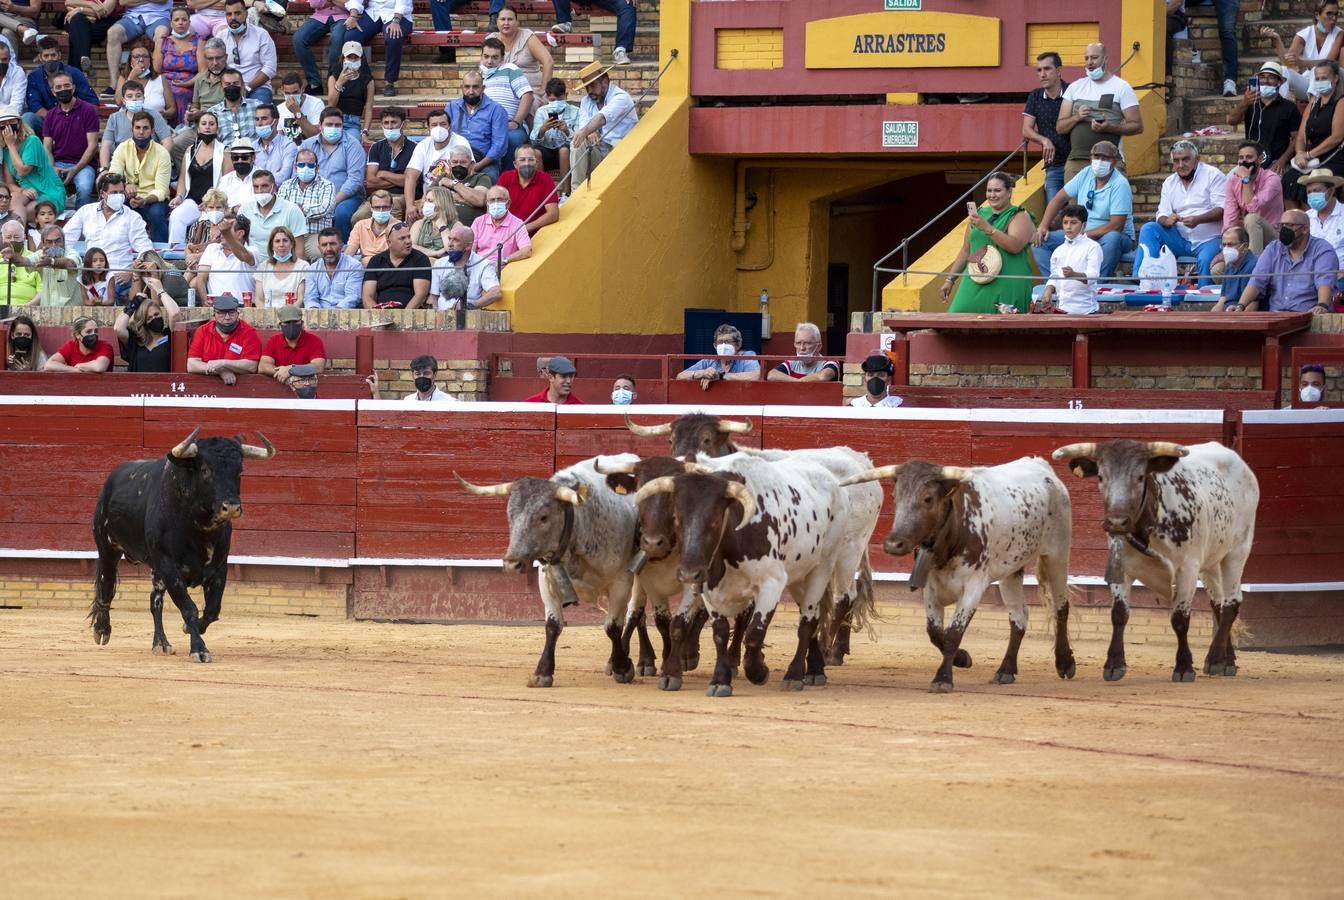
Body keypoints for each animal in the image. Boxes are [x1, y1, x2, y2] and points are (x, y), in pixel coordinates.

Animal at [89, 429, 275, 663]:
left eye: (239, 470)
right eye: (205, 470)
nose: (231, 507)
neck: (199, 526)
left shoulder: (219, 567)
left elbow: (212, 609)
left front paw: (192, 629)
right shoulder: (168, 565)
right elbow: (189, 608)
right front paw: (199, 649)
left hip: (155, 569)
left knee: (155, 601)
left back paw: (161, 643)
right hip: (108, 548)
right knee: (106, 585)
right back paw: (102, 630)